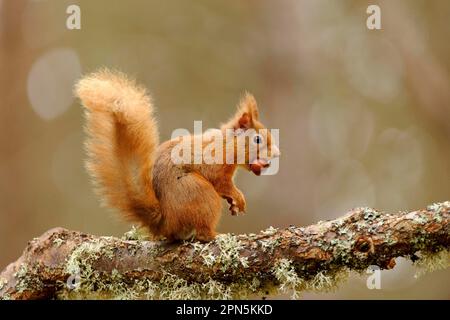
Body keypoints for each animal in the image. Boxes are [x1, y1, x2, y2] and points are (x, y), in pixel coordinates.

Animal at [75, 69, 280, 240]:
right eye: (258, 140)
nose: (276, 155)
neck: (226, 143)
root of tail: (165, 222)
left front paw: (234, 203)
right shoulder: (214, 162)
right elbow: (220, 182)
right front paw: (238, 197)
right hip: (201, 194)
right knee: (202, 232)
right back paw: (215, 235)